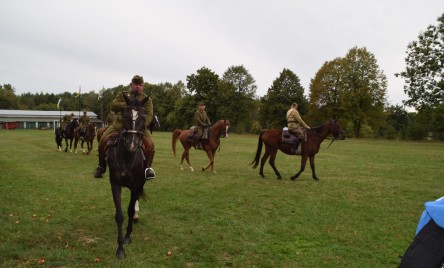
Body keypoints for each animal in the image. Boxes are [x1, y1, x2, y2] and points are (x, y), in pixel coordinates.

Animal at [106, 93, 150, 258]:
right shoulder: (115, 184)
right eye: (125, 115)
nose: (132, 144)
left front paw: (127, 236)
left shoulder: (136, 185)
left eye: (143, 117)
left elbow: (130, 211)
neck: (126, 156)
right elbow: (119, 215)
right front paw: (120, 249)